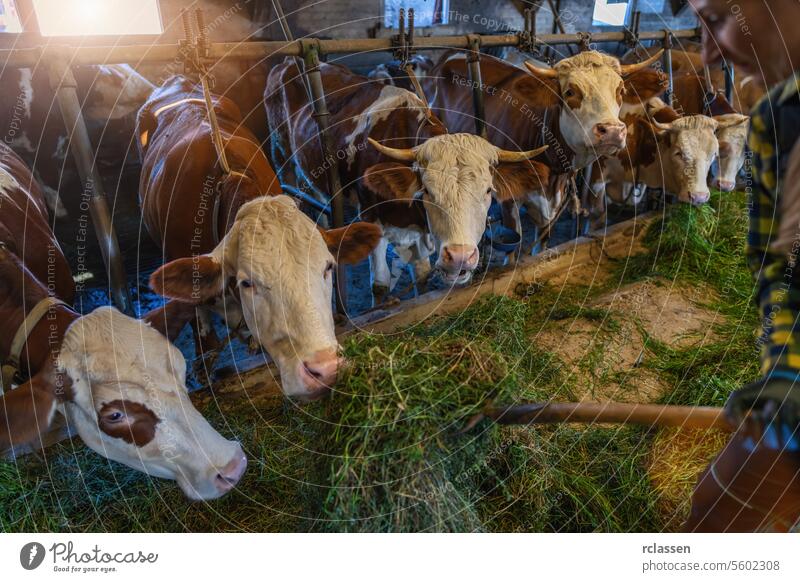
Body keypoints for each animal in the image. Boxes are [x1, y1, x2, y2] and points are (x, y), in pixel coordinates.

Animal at [266, 60, 552, 298]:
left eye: (488, 191)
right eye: (427, 191)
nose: (459, 257)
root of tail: (287, 61)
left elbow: (422, 277)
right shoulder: (371, 218)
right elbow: (380, 285)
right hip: (280, 153)